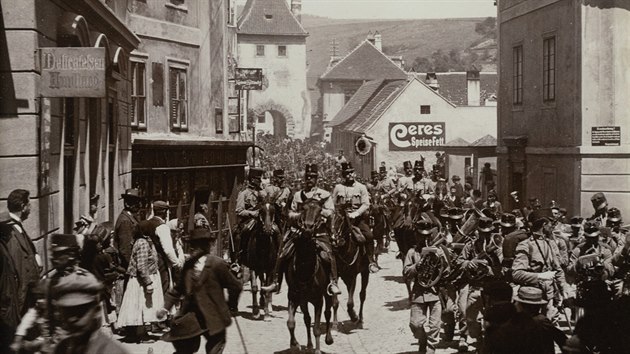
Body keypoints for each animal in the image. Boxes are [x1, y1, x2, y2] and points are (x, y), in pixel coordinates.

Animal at [286, 195, 336, 352]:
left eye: (320, 210)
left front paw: (318, 349)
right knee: (307, 319)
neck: (304, 270)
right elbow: (291, 322)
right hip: (303, 300)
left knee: (328, 313)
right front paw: (295, 344)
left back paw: (328, 339)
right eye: (303, 208)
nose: (308, 228)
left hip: (327, 293)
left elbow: (317, 328)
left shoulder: (318, 300)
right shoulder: (294, 296)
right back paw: (308, 344)